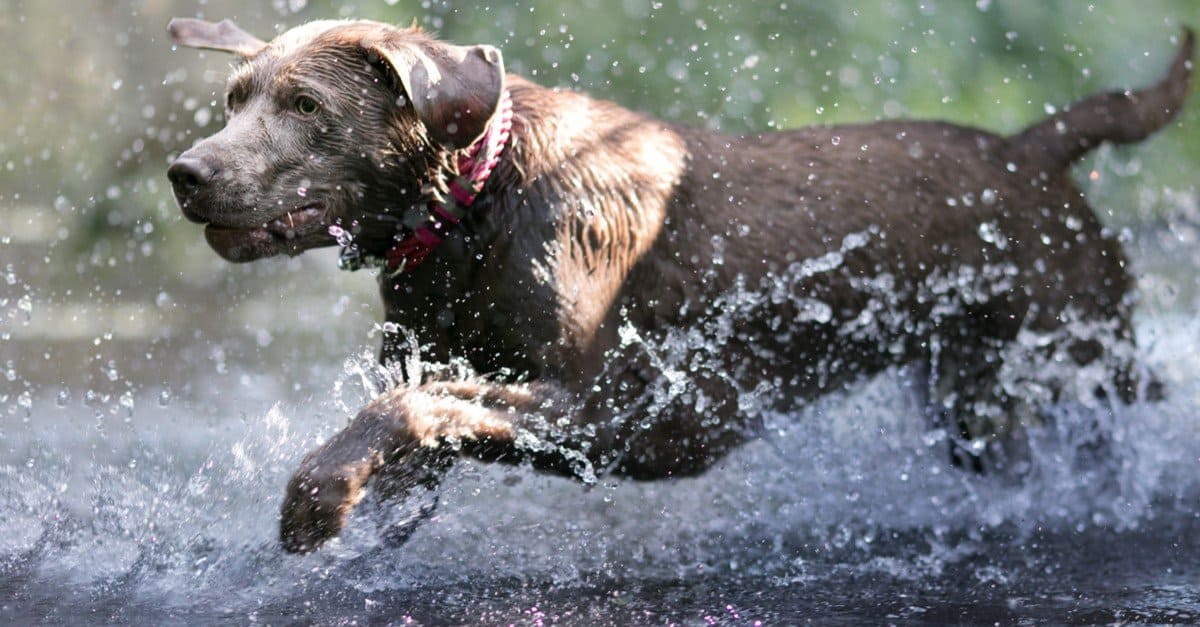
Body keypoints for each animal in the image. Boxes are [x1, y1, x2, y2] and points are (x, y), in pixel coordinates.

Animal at [166, 15, 1190, 552]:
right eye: (234, 100)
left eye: (306, 106)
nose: (187, 171)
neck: (479, 206)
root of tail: (1034, 149)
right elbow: (420, 415)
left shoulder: (614, 409)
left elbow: (412, 406)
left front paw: (316, 495)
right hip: (977, 401)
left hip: (1082, 354)